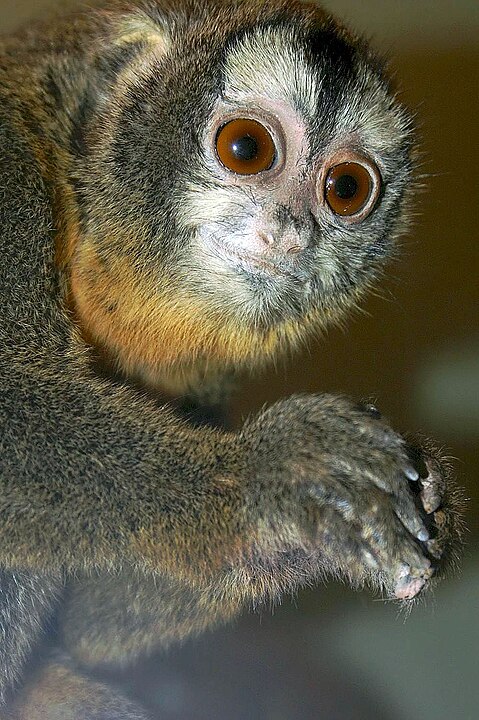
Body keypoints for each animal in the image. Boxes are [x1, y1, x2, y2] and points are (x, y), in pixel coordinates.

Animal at [0, 0, 464, 717]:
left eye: (346, 188)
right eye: (246, 148)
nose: (292, 233)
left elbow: (91, 620)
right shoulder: (7, 167)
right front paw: (268, 475)